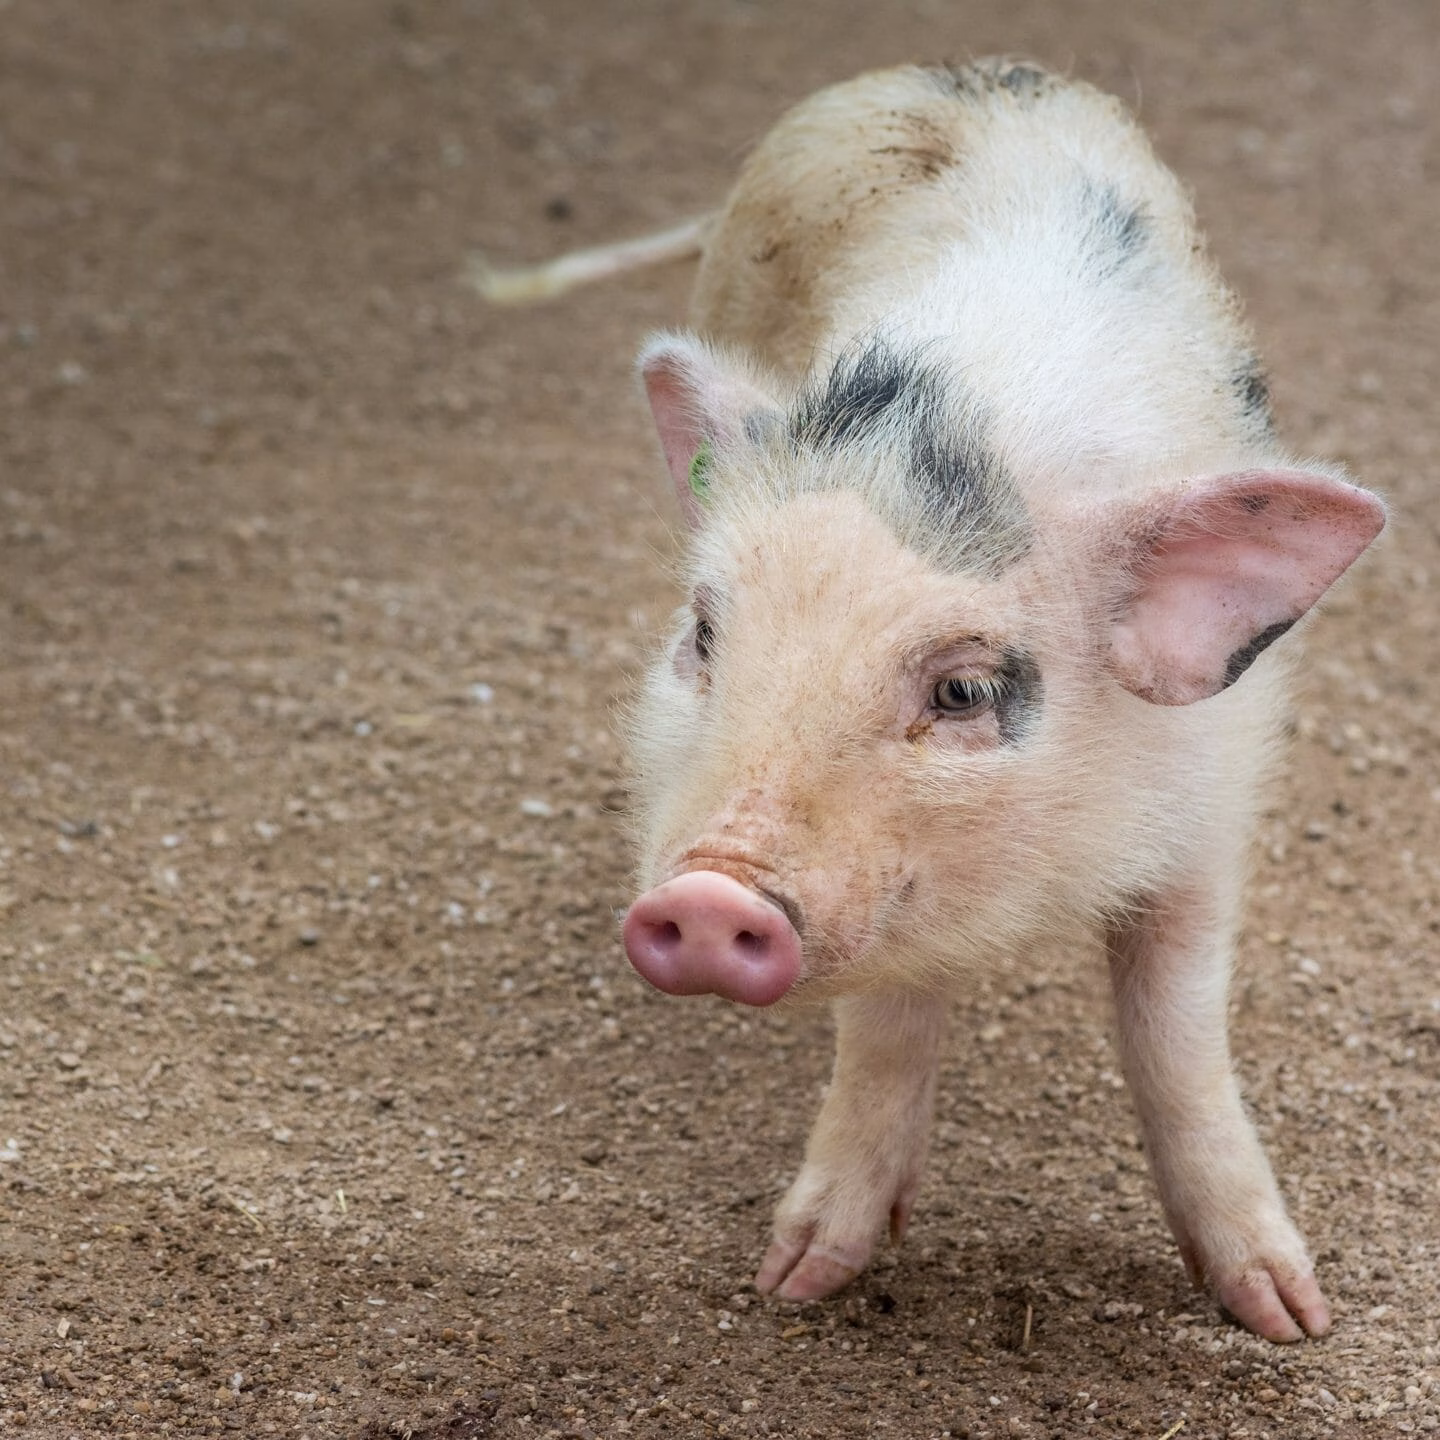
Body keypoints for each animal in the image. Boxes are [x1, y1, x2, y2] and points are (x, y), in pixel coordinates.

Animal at [478, 60, 1385, 1343]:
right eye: (706, 635)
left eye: (961, 687)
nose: (708, 895)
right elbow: (889, 1026)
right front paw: (796, 1280)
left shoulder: (1212, 810)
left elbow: (1175, 1032)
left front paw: (1289, 1317)